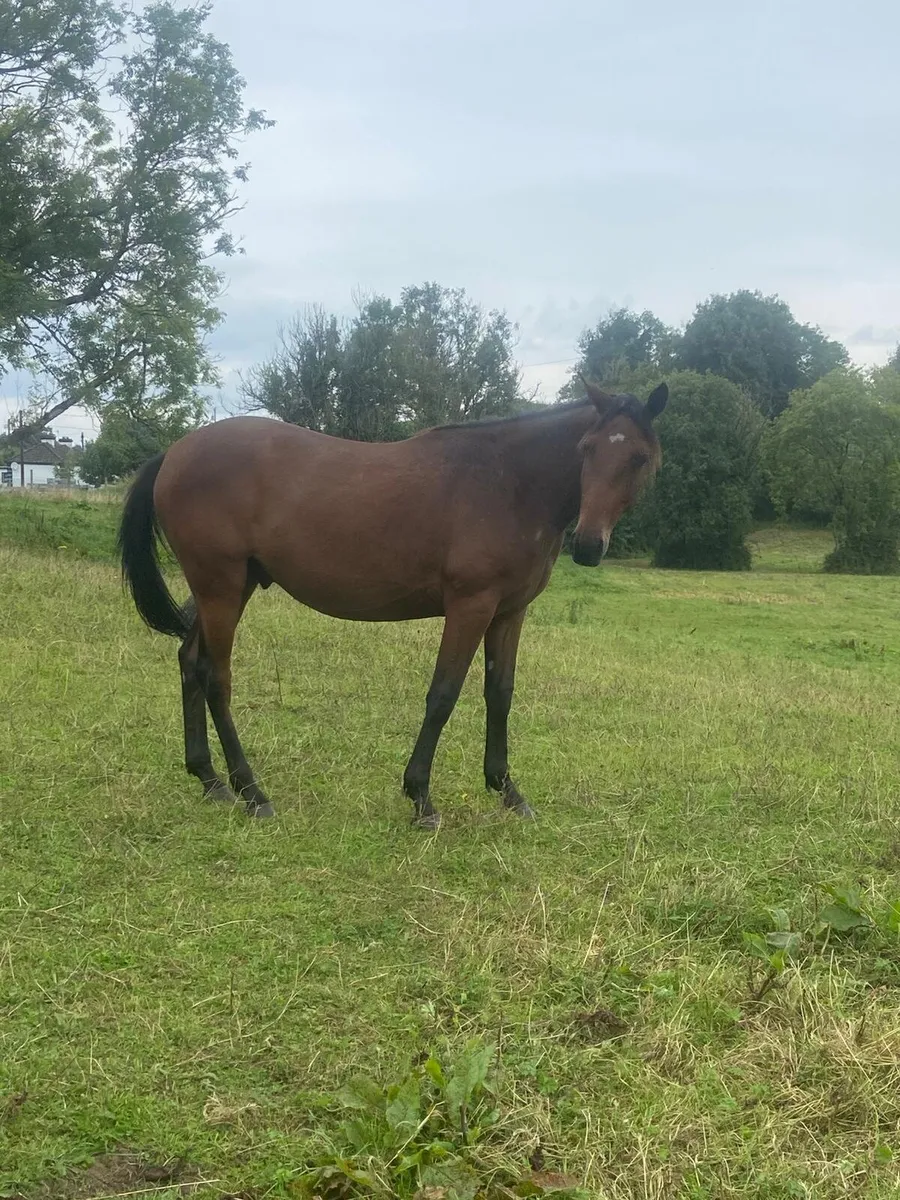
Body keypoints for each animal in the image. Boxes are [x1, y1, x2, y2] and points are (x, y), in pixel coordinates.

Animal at [118, 378, 667, 826]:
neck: (509, 482)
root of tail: (174, 453)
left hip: (228, 587)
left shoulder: (510, 612)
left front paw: (508, 791)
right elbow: (443, 694)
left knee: (190, 662)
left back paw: (210, 781)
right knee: (216, 677)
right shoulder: (471, 606)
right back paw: (253, 793)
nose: (589, 546)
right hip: (221, 586)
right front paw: (421, 798)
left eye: (639, 457)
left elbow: (500, 694)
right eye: (587, 448)